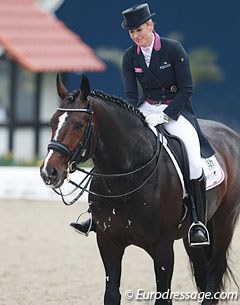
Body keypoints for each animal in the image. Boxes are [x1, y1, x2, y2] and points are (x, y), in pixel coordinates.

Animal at [40, 74, 239, 304]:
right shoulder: (108, 242)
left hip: (225, 219)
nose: (48, 172)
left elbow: (163, 296)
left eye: (79, 125)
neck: (127, 178)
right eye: (52, 122)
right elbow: (111, 294)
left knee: (215, 268)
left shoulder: (163, 247)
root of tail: (231, 134)